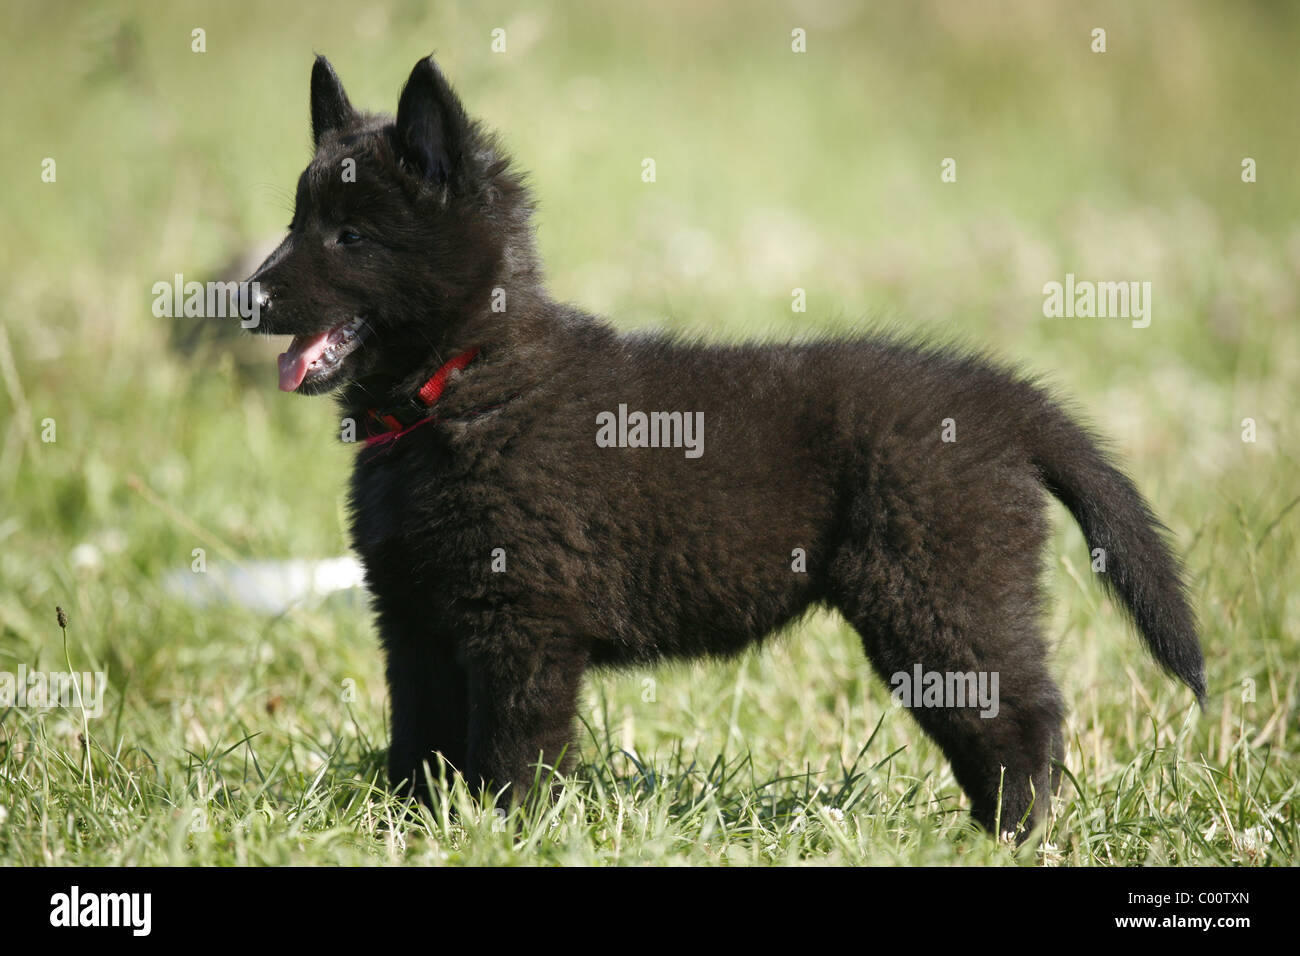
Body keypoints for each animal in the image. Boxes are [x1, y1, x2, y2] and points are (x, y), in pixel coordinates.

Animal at [245, 54, 1206, 837]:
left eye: (351, 235)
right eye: (296, 220)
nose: (244, 299)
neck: (464, 385)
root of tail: (1001, 401)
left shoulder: (522, 623)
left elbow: (514, 753)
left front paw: (505, 833)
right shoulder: (412, 619)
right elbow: (418, 742)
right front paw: (406, 826)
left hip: (938, 595)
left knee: (1022, 715)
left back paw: (1009, 836)